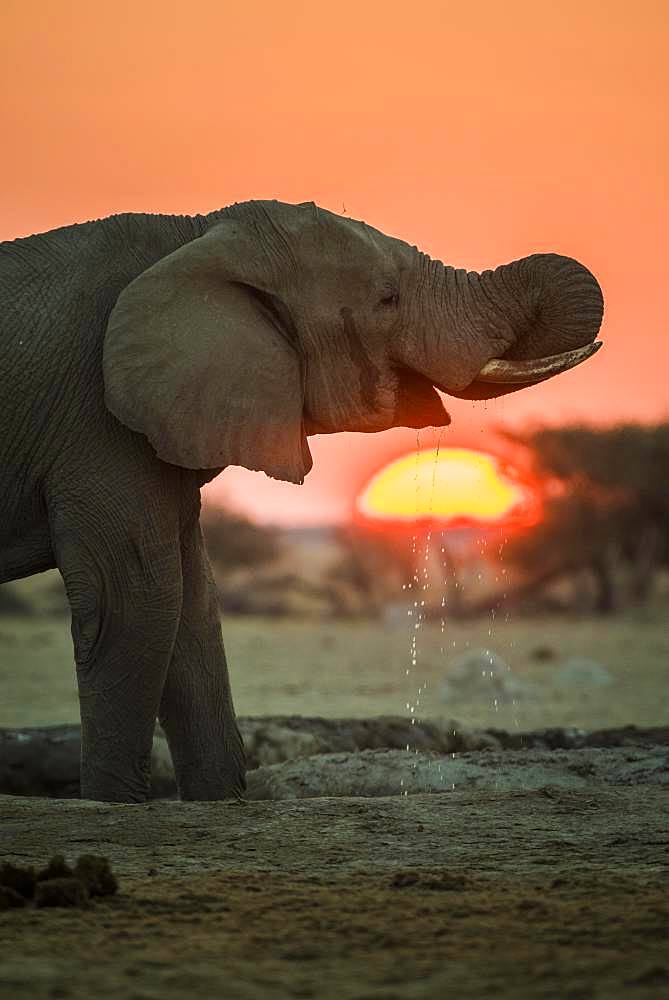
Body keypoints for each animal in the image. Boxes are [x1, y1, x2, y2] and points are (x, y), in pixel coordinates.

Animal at [0, 199, 604, 800]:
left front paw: (221, 802)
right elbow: (133, 601)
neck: (196, 233)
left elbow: (193, 607)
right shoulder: (95, 423)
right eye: (388, 298)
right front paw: (115, 805)